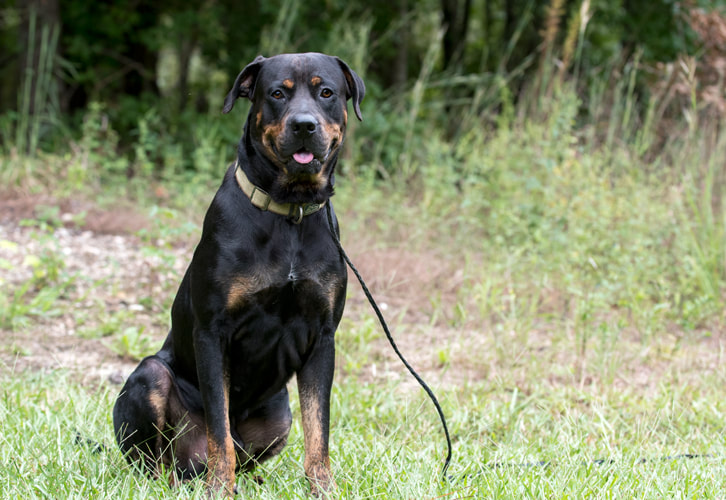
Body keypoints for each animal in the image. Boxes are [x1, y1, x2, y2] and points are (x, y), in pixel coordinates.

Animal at [112, 51, 364, 496]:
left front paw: (323, 488)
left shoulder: (323, 336)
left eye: (327, 93)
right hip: (151, 377)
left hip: (279, 414)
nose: (304, 125)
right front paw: (219, 488)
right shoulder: (213, 332)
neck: (289, 213)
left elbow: (319, 428)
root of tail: (188, 466)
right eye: (277, 93)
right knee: (156, 460)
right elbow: (219, 426)